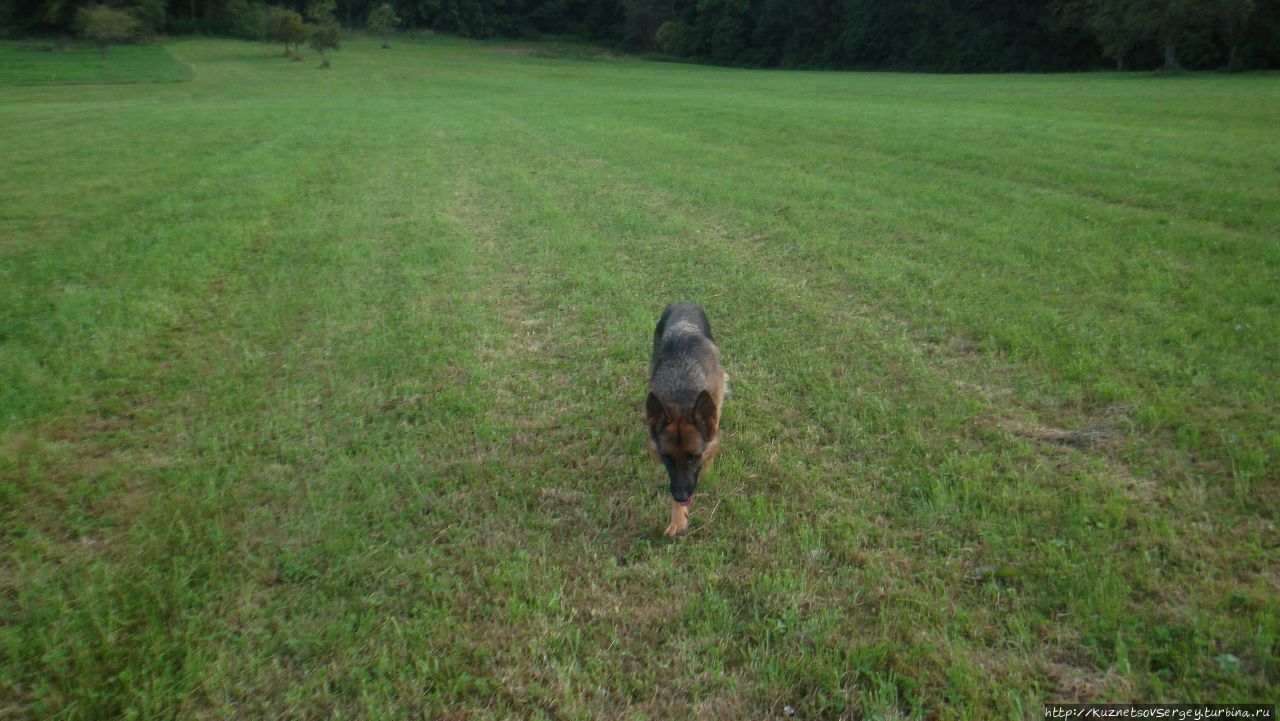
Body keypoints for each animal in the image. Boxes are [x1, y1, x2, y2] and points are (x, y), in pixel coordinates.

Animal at [645, 303, 727, 535]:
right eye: (666, 457)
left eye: (693, 457)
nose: (680, 497)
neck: (682, 393)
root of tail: (683, 302)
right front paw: (677, 519)